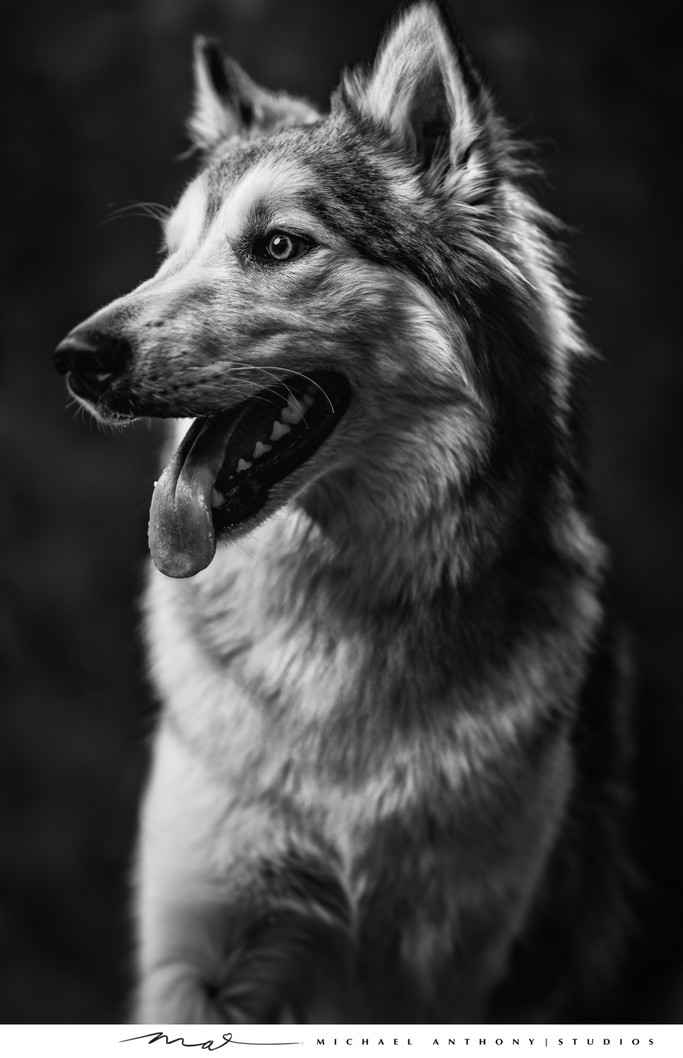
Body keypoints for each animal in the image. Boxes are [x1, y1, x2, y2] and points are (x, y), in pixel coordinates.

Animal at [56, 0, 676, 1024]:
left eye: (278, 246)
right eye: (168, 256)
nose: (76, 359)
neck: (330, 637)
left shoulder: (460, 972)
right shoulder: (198, 952)